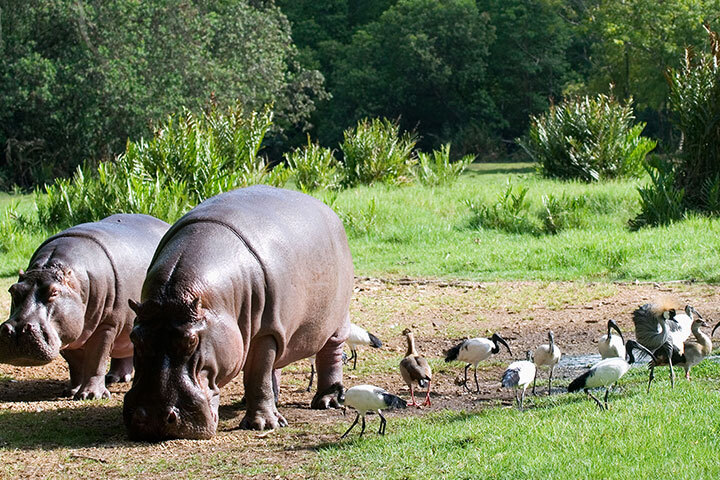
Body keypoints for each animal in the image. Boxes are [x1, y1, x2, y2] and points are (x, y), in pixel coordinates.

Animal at [0, 214, 170, 399]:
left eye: (54, 292)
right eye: (13, 290)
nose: (17, 330)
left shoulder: (107, 325)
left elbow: (96, 359)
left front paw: (90, 395)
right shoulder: (68, 332)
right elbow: (75, 364)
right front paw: (71, 391)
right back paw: (114, 378)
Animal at [124, 185, 353, 440]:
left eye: (192, 341)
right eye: (135, 337)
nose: (154, 418)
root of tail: (327, 210)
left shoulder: (267, 332)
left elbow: (258, 375)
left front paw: (263, 424)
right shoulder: (274, 330)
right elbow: (262, 374)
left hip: (336, 321)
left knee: (330, 355)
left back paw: (327, 401)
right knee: (276, 366)